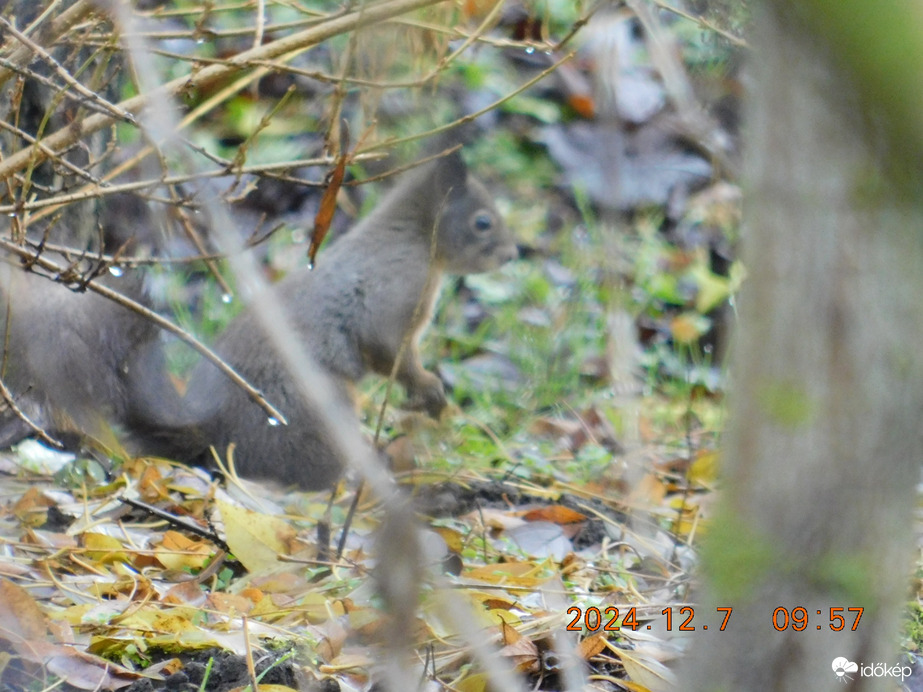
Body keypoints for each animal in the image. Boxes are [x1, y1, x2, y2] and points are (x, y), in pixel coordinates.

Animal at [1, 151, 520, 486]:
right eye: (482, 222)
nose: (513, 254)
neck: (412, 241)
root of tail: (214, 433)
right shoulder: (391, 300)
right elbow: (391, 353)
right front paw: (430, 390)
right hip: (316, 412)